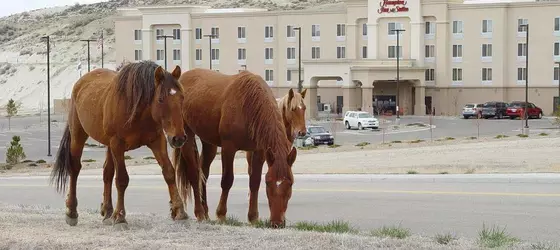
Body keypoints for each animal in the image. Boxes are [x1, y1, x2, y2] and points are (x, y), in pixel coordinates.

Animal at [50, 61, 187, 229]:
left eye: (182, 97)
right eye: (161, 99)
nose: (178, 138)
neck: (138, 110)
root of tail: (80, 83)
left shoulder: (157, 141)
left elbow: (169, 172)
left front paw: (179, 211)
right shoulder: (117, 144)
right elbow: (122, 179)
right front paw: (120, 217)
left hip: (108, 144)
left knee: (107, 172)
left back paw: (107, 211)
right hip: (78, 135)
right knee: (75, 169)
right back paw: (71, 211)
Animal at [173, 68, 298, 227]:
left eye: (290, 183)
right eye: (269, 183)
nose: (277, 222)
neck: (249, 105)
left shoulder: (259, 151)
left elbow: (254, 182)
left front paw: (253, 217)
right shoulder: (228, 148)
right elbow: (227, 180)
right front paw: (221, 214)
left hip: (209, 142)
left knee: (203, 172)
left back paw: (205, 211)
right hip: (186, 135)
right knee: (194, 173)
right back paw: (200, 212)